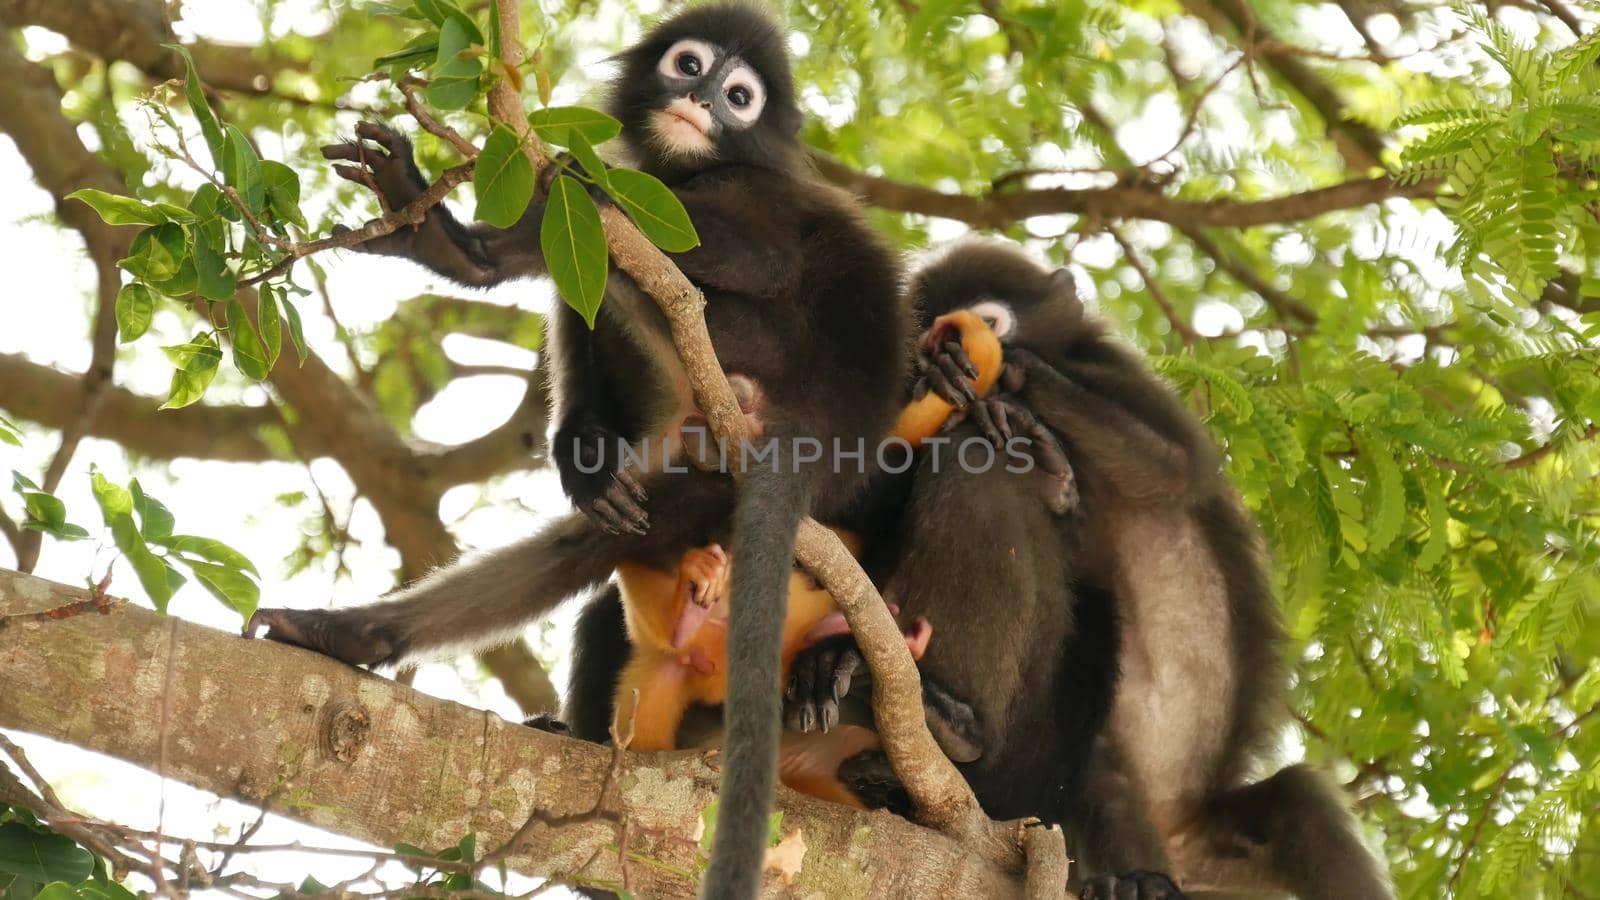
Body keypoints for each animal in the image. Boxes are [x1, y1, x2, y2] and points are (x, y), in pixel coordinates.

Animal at [249, 5, 915, 890]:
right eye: (689, 65)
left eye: (738, 97)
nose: (701, 100)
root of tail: (817, 431)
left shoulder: (746, 187)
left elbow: (729, 247)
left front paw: (565, 176)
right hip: (705, 479)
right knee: (596, 522)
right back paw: (350, 633)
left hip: (738, 344)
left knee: (647, 268)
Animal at [793, 240, 1395, 896]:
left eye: (991, 320)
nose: (940, 344)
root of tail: (1176, 839)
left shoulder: (1119, 372)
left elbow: (1174, 466)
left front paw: (1023, 395)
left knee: (1299, 806)